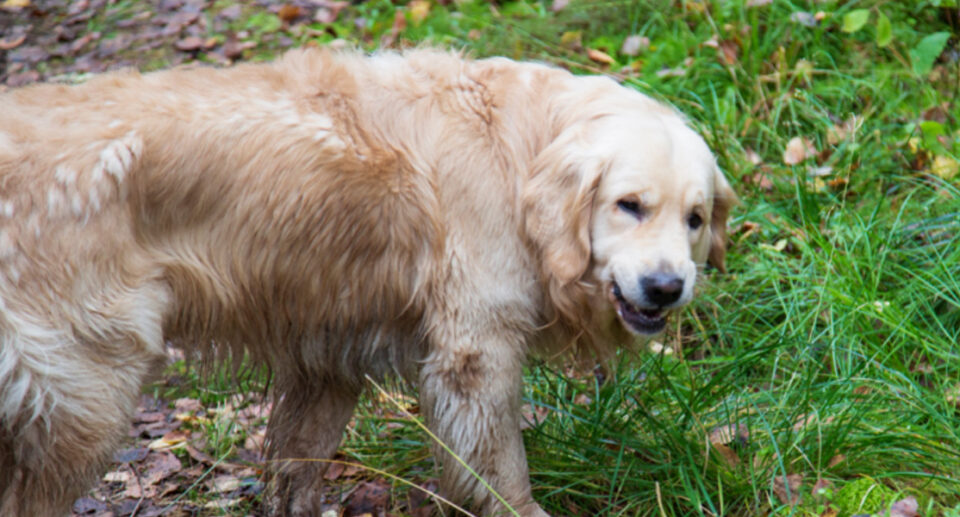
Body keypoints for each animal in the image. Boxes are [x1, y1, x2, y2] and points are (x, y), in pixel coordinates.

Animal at [0, 46, 736, 512]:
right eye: (628, 204)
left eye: (695, 218)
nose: (667, 288)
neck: (519, 152)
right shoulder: (476, 353)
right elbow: (502, 471)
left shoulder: (329, 353)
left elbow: (297, 465)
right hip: (85, 396)